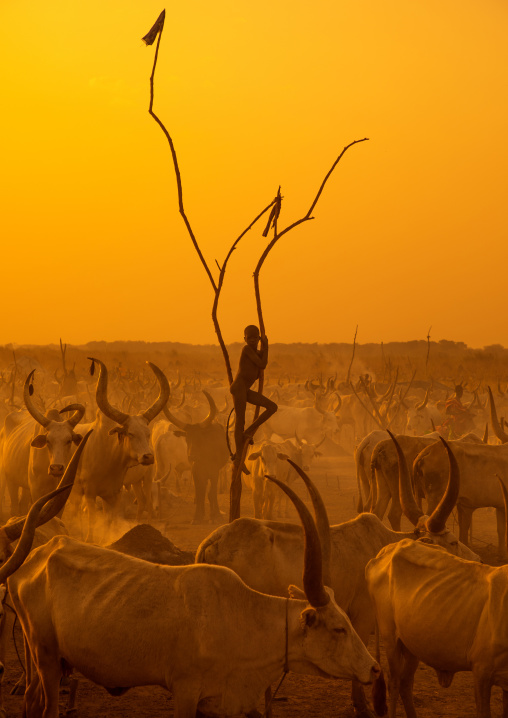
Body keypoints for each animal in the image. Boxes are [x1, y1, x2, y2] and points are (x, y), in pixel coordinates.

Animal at [7, 472, 381, 718]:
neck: (240, 618)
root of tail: (40, 554)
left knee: (29, 699)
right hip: (46, 657)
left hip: (44, 659)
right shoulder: (185, 691)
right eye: (339, 628)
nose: (374, 669)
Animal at [69, 358, 169, 542]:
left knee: (146, 502)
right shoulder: (90, 493)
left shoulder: (114, 494)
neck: (109, 458)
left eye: (148, 433)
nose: (148, 457)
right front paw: (89, 540)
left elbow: (110, 522)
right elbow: (92, 520)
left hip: (145, 480)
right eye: (130, 433)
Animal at [163, 391, 230, 524]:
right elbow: (200, 492)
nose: (192, 456)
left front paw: (216, 515)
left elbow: (212, 492)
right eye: (187, 438)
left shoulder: (214, 472)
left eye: (200, 438)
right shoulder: (196, 471)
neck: (204, 457)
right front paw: (197, 516)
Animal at [196, 436, 477, 717]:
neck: (382, 545)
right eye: (453, 541)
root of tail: (213, 541)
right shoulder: (362, 615)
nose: (477, 559)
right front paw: (361, 705)